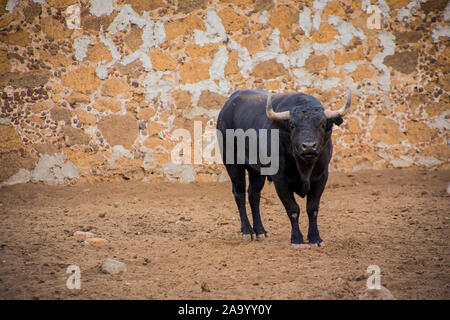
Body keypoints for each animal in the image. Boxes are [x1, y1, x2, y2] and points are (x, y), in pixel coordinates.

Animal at [215, 90, 352, 245]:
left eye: (322, 124)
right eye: (292, 125)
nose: (309, 146)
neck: (304, 168)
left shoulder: (321, 177)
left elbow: (312, 208)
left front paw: (315, 238)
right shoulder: (280, 180)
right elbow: (293, 209)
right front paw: (297, 239)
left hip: (256, 170)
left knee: (253, 195)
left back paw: (260, 231)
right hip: (232, 164)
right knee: (240, 194)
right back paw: (247, 231)